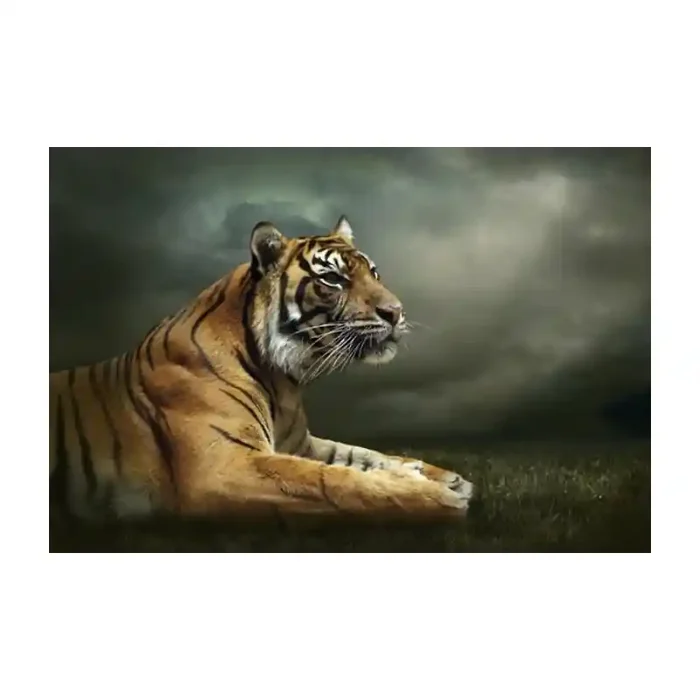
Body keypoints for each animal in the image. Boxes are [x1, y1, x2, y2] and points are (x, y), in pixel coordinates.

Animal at [50, 215, 474, 522]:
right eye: (332, 279)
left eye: (374, 273)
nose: (396, 312)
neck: (281, 379)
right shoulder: (225, 466)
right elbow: (333, 482)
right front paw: (435, 496)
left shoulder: (300, 444)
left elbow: (364, 455)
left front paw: (443, 476)